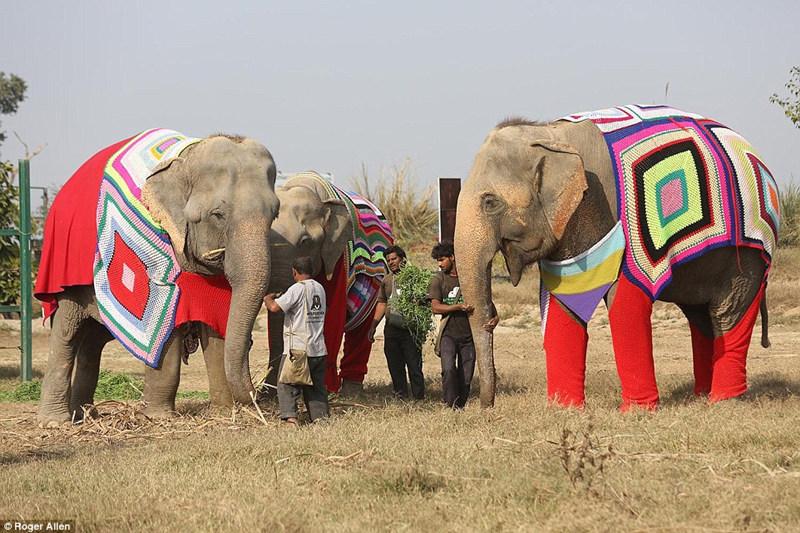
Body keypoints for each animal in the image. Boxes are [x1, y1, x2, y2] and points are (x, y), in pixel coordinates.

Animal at [35, 130, 282, 424]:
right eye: (218, 214)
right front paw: (159, 418)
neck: (185, 159)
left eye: (275, 214)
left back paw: (85, 415)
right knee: (66, 333)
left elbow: (216, 324)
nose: (260, 398)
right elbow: (165, 324)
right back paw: (56, 421)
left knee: (93, 342)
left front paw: (223, 413)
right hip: (64, 274)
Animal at [262, 172, 390, 392]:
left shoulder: (337, 257)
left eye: (305, 242)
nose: (266, 392)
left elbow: (330, 310)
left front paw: (325, 388)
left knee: (363, 326)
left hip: (376, 280)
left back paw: (350, 390)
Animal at [456, 106, 780, 410]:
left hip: (749, 254)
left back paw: (723, 401)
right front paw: (564, 408)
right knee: (699, 316)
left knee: (728, 311)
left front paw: (636, 412)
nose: (486, 407)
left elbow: (625, 298)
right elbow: (559, 302)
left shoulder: (622, 225)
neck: (551, 133)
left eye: (490, 203)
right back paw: (700, 395)